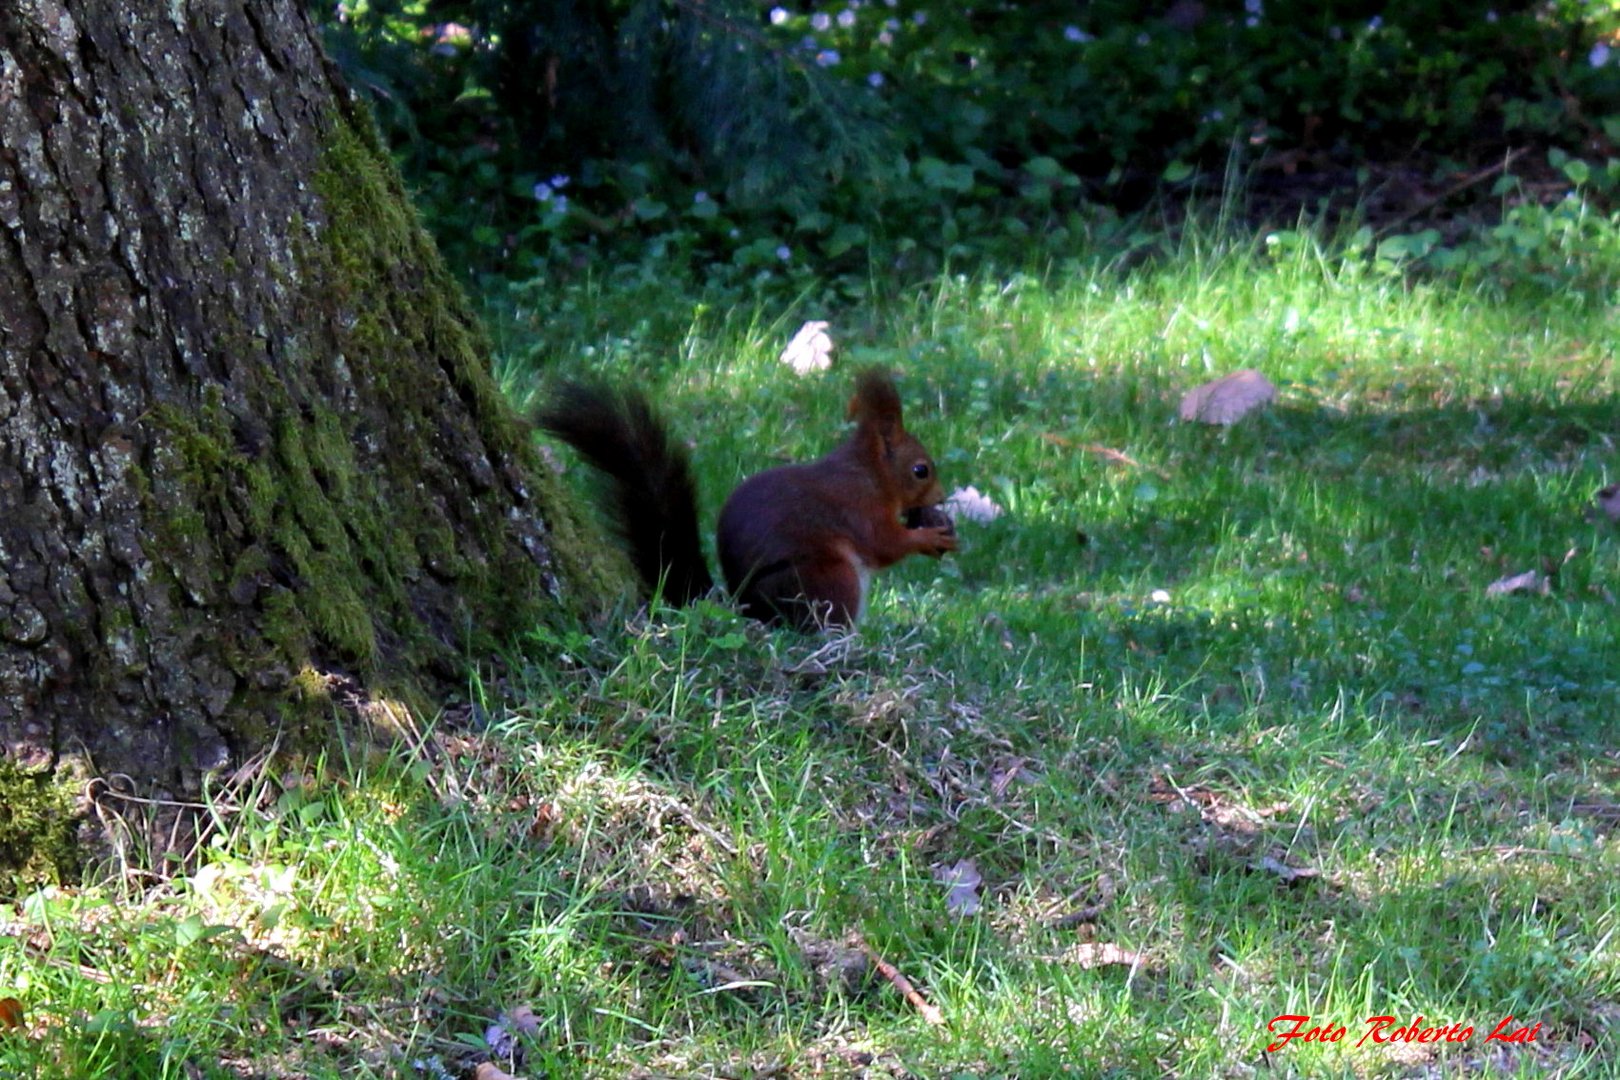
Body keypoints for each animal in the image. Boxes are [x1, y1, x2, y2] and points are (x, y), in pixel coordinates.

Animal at [537, 369, 952, 628]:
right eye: (921, 470)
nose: (943, 496)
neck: (870, 474)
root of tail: (749, 608)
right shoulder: (857, 507)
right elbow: (883, 545)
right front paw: (929, 537)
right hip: (827, 578)